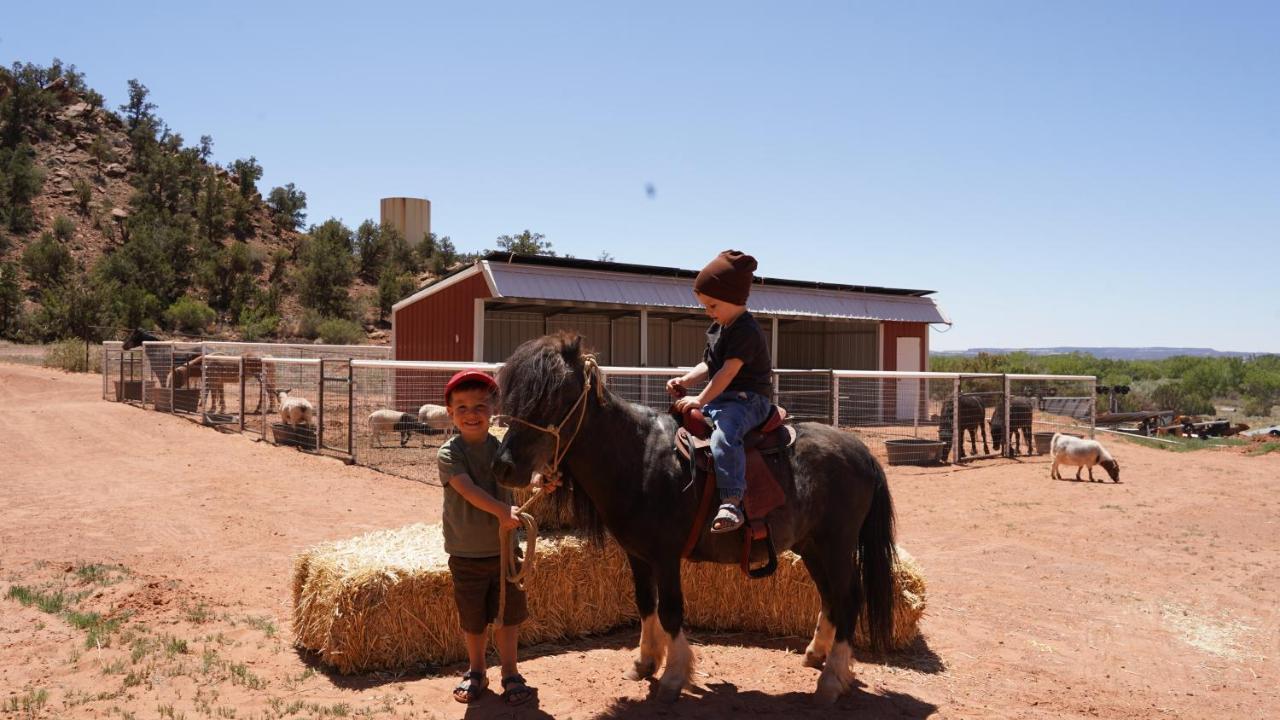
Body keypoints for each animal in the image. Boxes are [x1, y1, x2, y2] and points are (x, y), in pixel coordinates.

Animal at [494, 333, 896, 702]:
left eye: (554, 395)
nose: (504, 467)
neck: (640, 458)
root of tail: (860, 451)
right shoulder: (637, 556)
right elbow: (646, 604)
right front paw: (644, 662)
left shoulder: (666, 556)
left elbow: (671, 611)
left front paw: (673, 676)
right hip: (812, 546)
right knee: (830, 597)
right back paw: (817, 655)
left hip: (836, 544)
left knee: (848, 598)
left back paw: (832, 679)